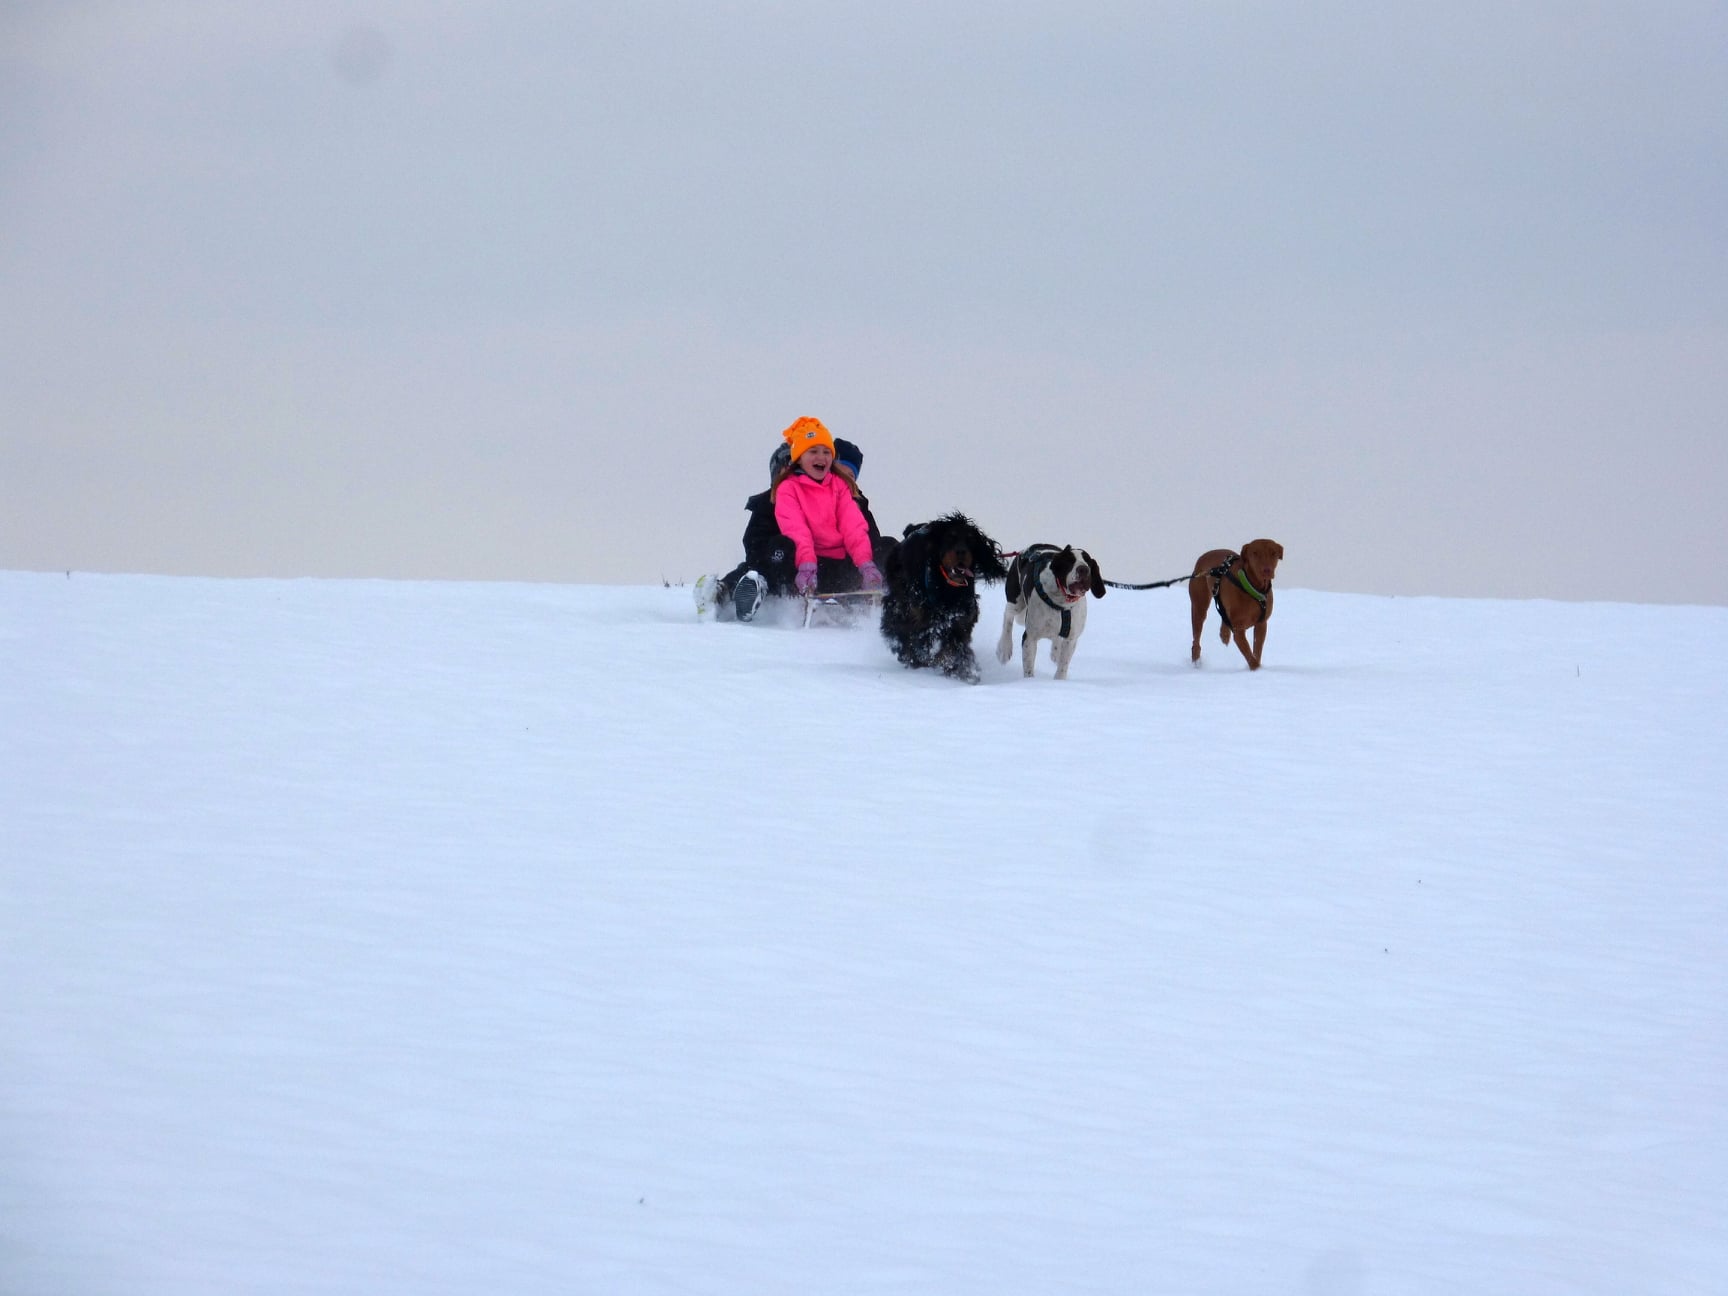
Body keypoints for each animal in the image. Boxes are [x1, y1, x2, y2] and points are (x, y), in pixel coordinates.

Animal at [880, 512, 1007, 684]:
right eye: (950, 538)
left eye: (971, 540)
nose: (961, 551)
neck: (949, 586)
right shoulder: (916, 615)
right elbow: (912, 640)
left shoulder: (959, 620)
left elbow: (954, 647)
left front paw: (963, 670)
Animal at [995, 544, 1105, 680]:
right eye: (1069, 561)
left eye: (1088, 562)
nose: (1083, 569)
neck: (1063, 603)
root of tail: (1026, 550)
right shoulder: (1030, 637)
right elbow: (1028, 668)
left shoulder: (1071, 639)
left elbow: (1063, 666)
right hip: (1016, 601)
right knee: (1008, 616)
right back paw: (1004, 649)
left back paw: (1055, 652)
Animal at [1189, 539, 1283, 670]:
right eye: (1255, 553)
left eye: (1273, 553)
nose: (1266, 570)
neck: (1252, 587)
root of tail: (1203, 556)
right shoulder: (1238, 630)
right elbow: (1250, 657)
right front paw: (1256, 669)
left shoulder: (1261, 624)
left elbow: (1257, 650)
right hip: (1199, 606)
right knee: (1196, 638)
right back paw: (1196, 661)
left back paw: (1224, 635)